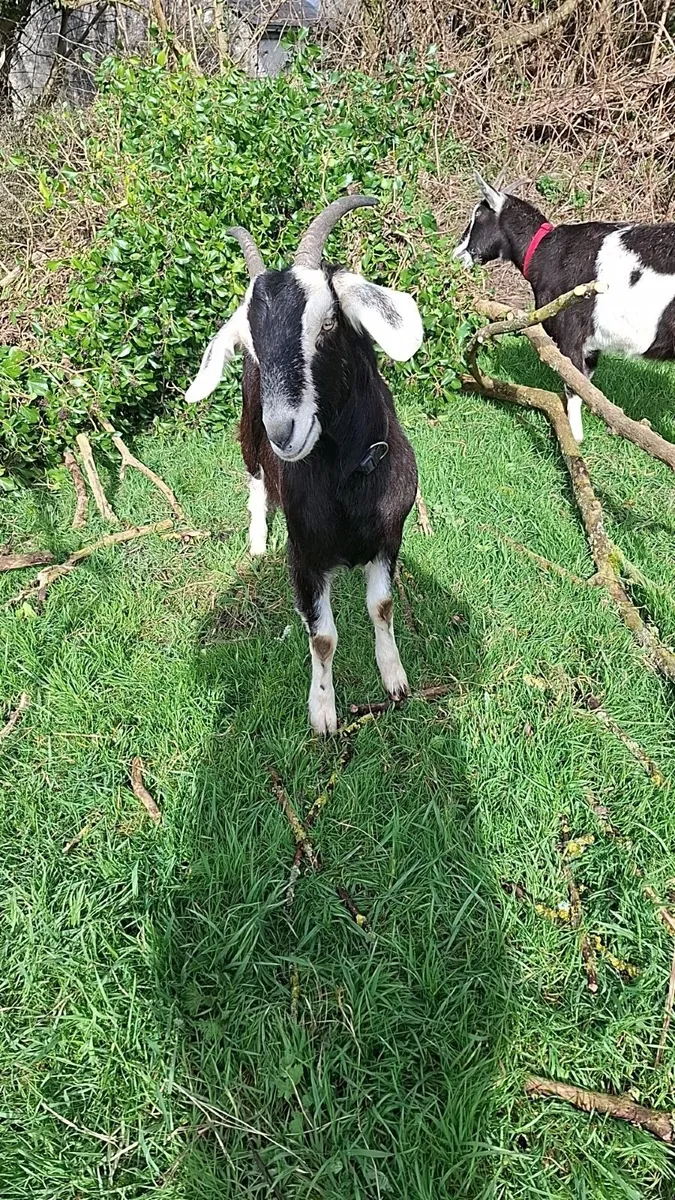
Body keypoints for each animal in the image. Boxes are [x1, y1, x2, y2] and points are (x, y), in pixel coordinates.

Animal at [186, 197, 423, 734]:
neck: (349, 481)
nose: (284, 432)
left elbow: (382, 606)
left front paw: (394, 677)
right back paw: (256, 540)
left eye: (329, 322)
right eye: (251, 344)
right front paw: (323, 713)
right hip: (248, 432)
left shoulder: (389, 539)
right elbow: (323, 636)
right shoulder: (305, 557)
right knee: (254, 478)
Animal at [454, 172, 675, 442]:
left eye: (477, 216)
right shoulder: (590, 345)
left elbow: (573, 386)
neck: (545, 253)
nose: (456, 255)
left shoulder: (570, 333)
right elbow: (585, 383)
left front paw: (573, 438)